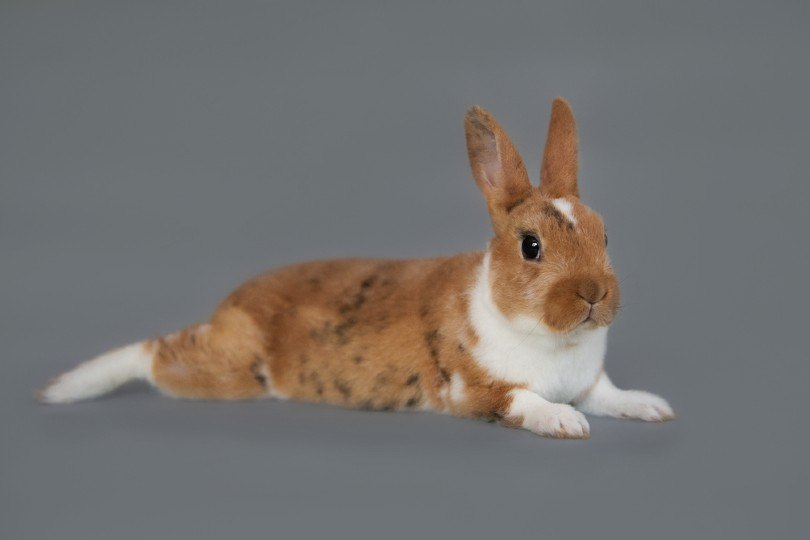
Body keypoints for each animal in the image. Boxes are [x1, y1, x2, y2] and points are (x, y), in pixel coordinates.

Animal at [38, 98, 674, 439]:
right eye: (531, 246)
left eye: (605, 234)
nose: (594, 294)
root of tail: (227, 308)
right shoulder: (481, 390)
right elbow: (526, 402)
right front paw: (567, 424)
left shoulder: (589, 382)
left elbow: (609, 394)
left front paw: (653, 407)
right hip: (228, 373)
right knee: (155, 355)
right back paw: (64, 389)